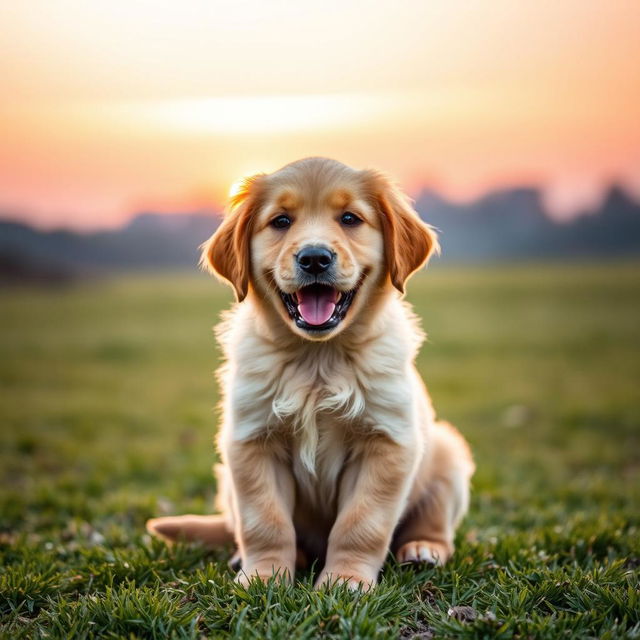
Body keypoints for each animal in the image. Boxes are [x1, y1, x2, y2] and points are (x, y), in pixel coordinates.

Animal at [148, 158, 472, 588]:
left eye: (350, 218)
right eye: (281, 221)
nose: (315, 258)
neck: (318, 359)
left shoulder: (387, 444)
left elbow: (361, 524)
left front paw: (345, 581)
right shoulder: (251, 442)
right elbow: (265, 522)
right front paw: (263, 576)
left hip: (448, 454)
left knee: (434, 524)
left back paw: (422, 549)